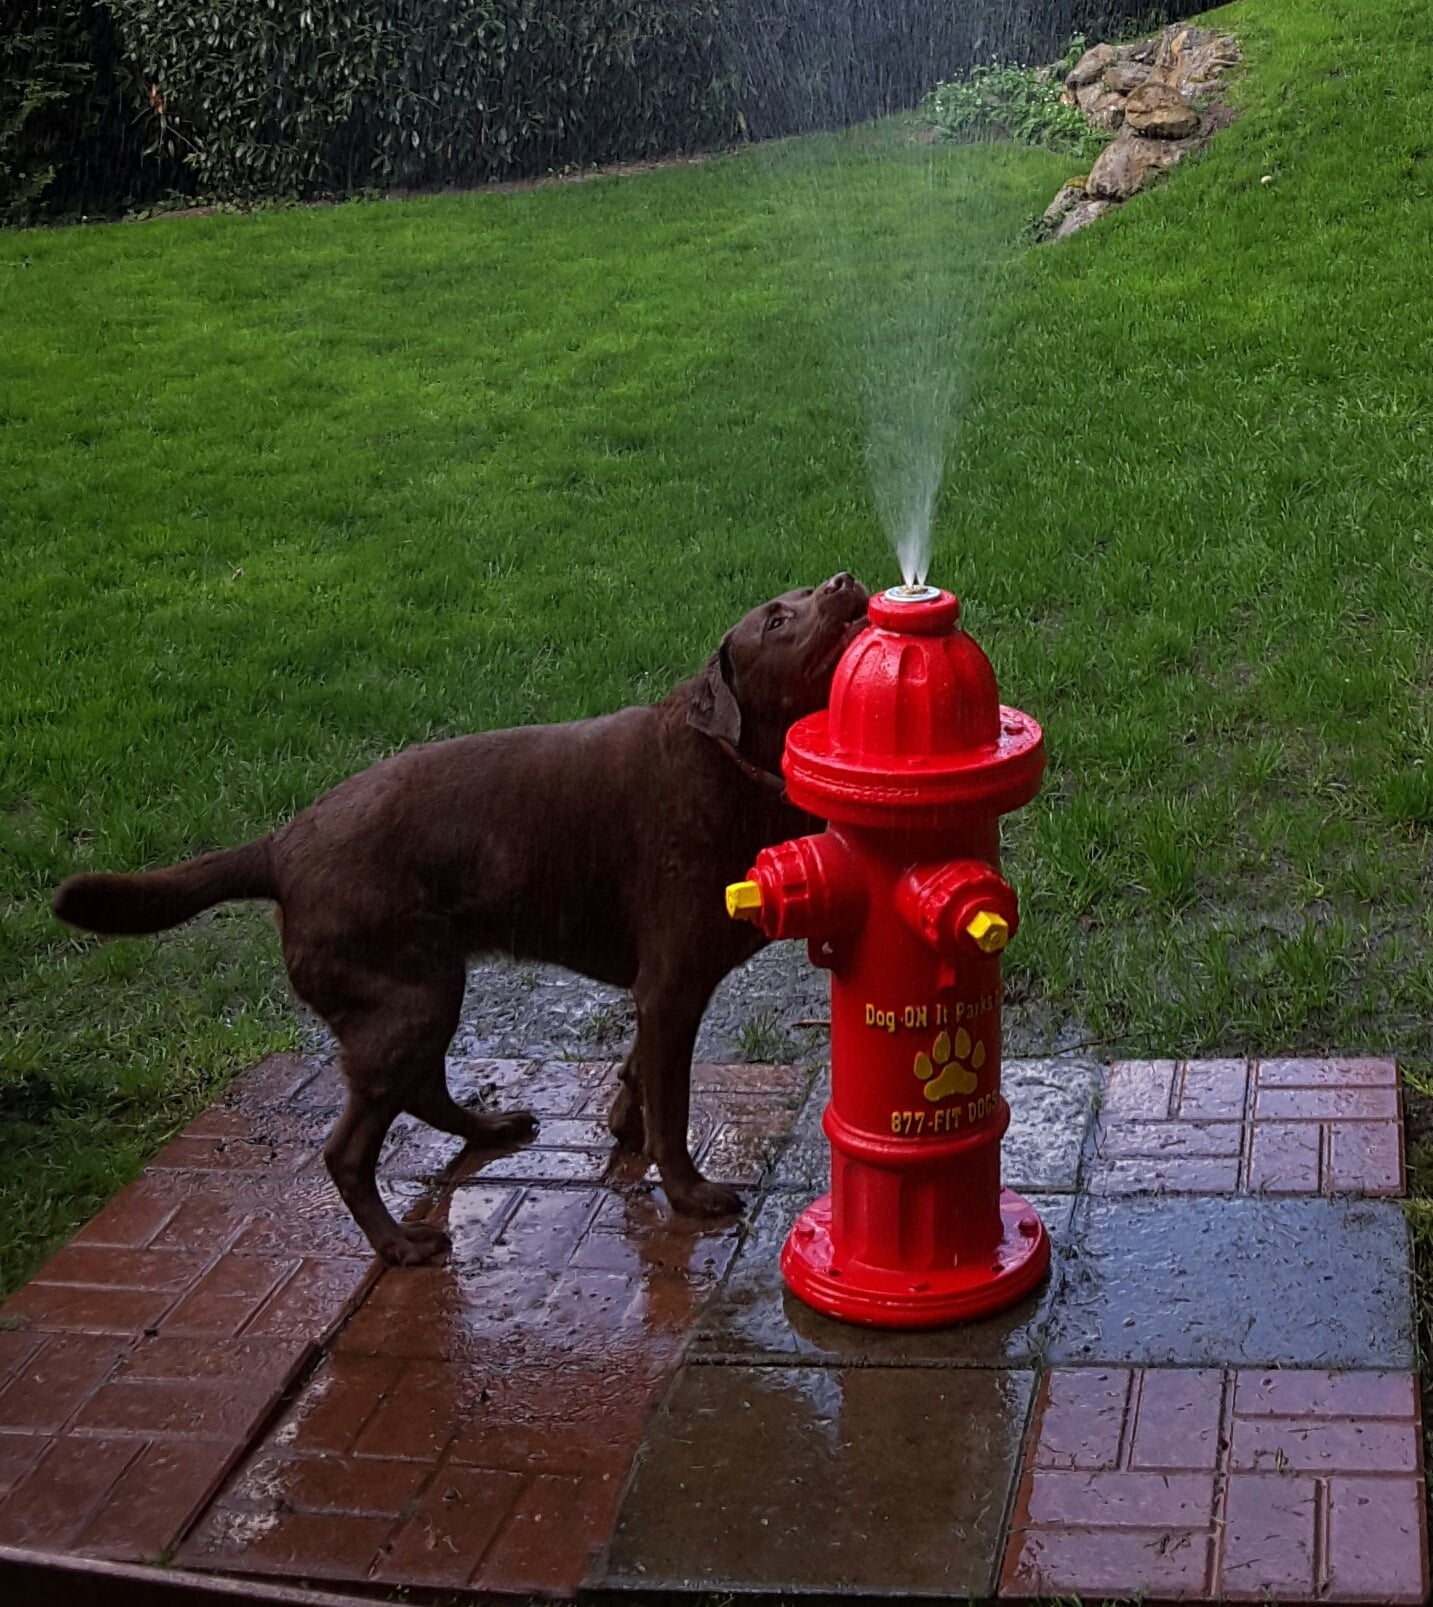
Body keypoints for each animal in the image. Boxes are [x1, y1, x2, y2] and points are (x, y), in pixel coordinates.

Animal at [55, 578, 867, 1266]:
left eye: (803, 592)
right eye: (776, 619)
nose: (844, 579)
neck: (728, 761)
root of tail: (280, 846)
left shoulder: (656, 993)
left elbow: (637, 1071)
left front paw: (620, 1123)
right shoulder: (671, 987)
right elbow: (673, 1105)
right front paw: (689, 1192)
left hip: (423, 990)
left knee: (421, 1092)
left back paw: (489, 1129)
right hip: (410, 998)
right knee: (348, 1149)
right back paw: (399, 1245)